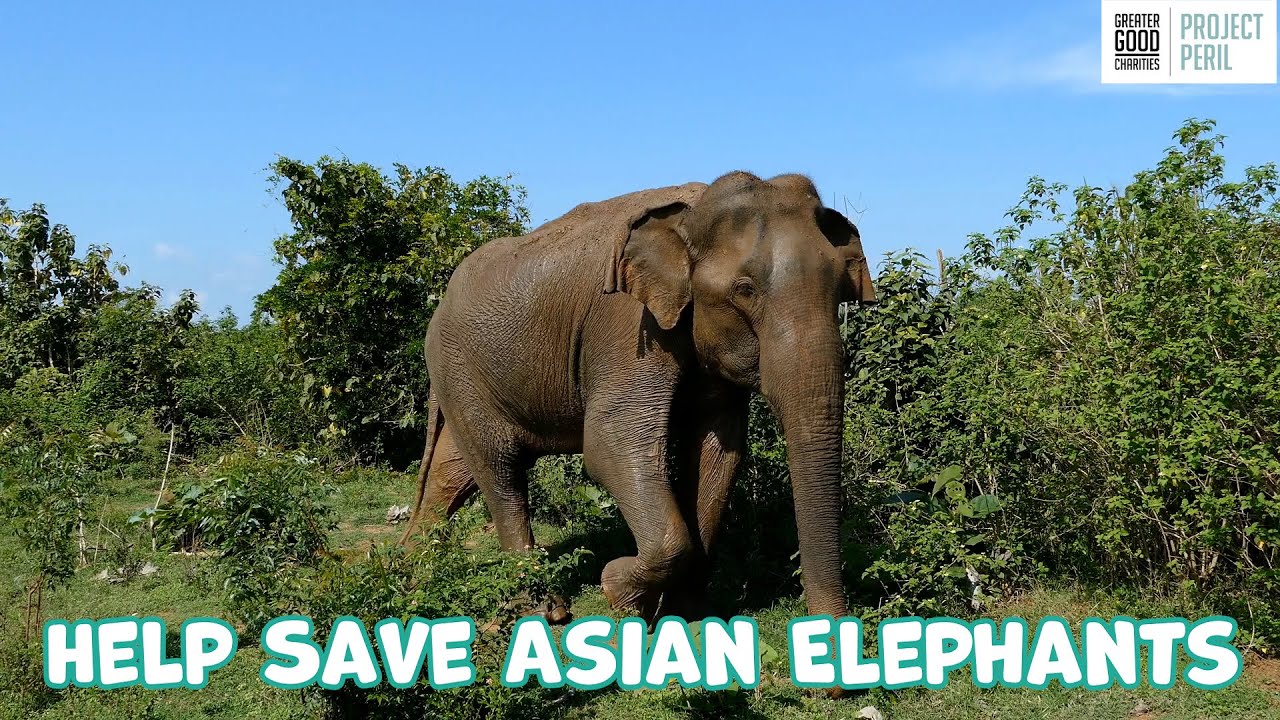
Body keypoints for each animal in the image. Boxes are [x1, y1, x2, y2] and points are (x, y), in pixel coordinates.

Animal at [400, 171, 877, 624]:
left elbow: (718, 453)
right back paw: (543, 609)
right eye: (745, 290)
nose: (832, 636)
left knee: (454, 470)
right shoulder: (628, 325)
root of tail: (438, 306)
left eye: (841, 286)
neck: (692, 213)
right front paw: (619, 593)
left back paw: (413, 571)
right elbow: (611, 442)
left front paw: (686, 615)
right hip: (461, 368)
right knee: (500, 469)